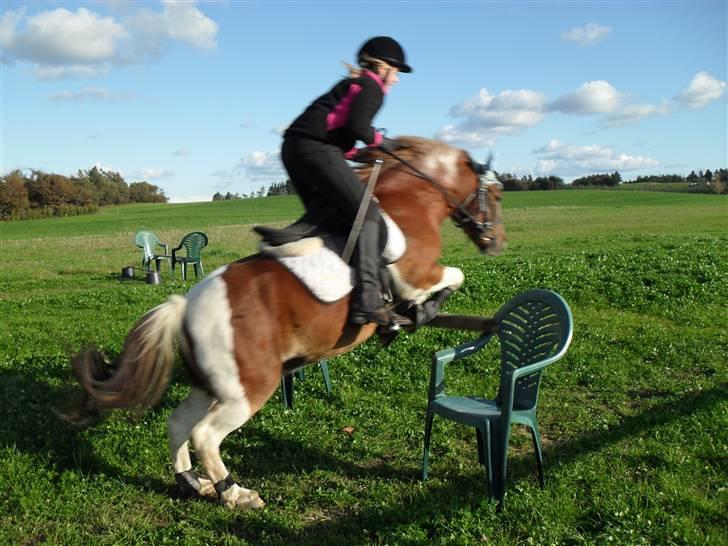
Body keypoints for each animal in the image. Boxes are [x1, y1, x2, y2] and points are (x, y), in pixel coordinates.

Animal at [67, 136, 506, 509]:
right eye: (499, 194)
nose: (497, 242)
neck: (414, 198)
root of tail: (185, 307)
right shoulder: (416, 273)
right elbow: (454, 276)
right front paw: (420, 311)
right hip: (250, 388)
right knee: (205, 435)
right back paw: (235, 493)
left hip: (212, 386)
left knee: (178, 424)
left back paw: (192, 484)